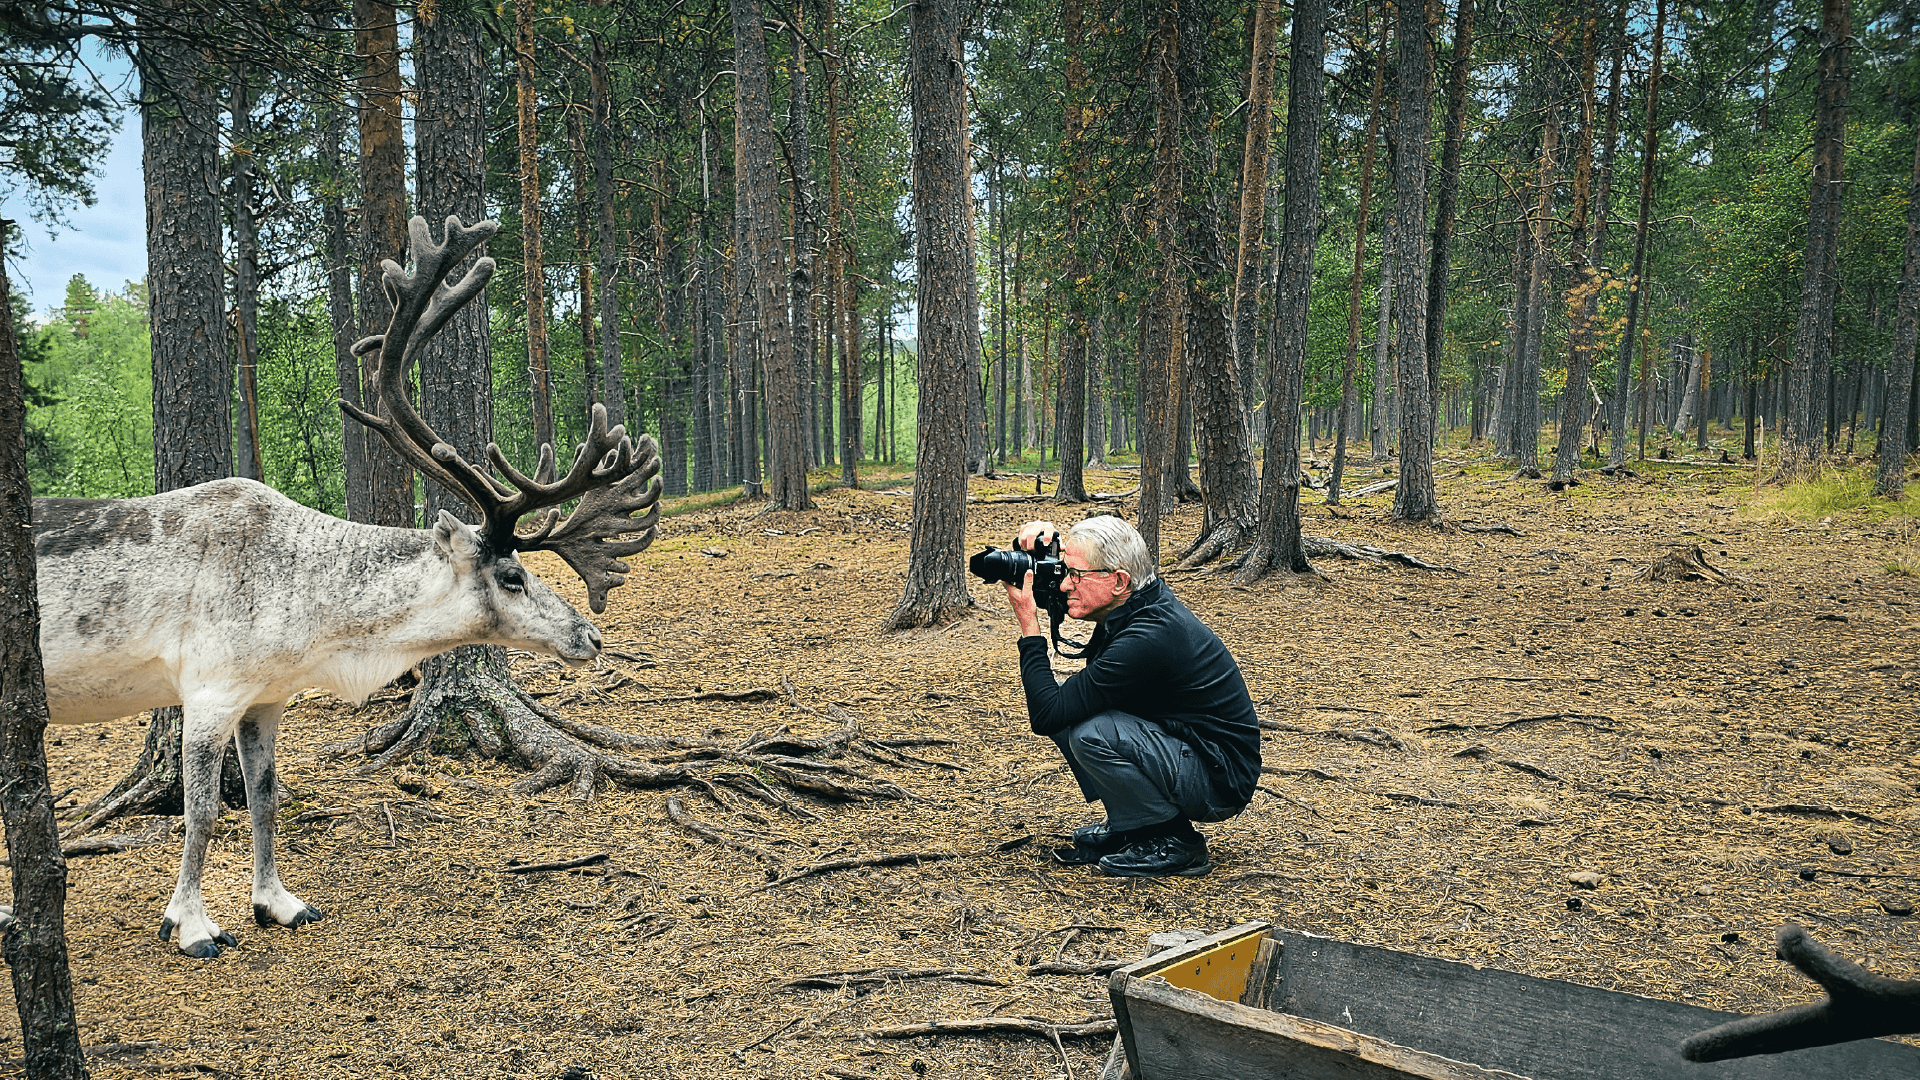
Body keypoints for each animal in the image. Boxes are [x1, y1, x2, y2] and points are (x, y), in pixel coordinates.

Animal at [19, 215, 662, 958]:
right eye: (511, 575)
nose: (590, 634)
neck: (321, 622)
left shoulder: (266, 697)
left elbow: (265, 798)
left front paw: (277, 902)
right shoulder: (208, 692)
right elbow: (202, 811)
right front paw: (191, 924)